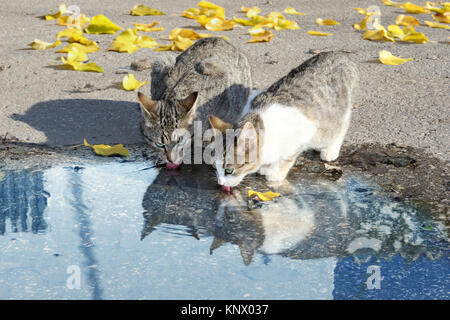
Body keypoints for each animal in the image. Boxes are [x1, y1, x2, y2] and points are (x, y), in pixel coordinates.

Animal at [209, 52, 360, 188]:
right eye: (215, 168)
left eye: (229, 170)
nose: (220, 183)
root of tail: (340, 55)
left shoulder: (305, 130)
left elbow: (287, 157)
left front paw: (276, 172)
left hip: (335, 115)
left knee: (340, 126)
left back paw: (331, 149)